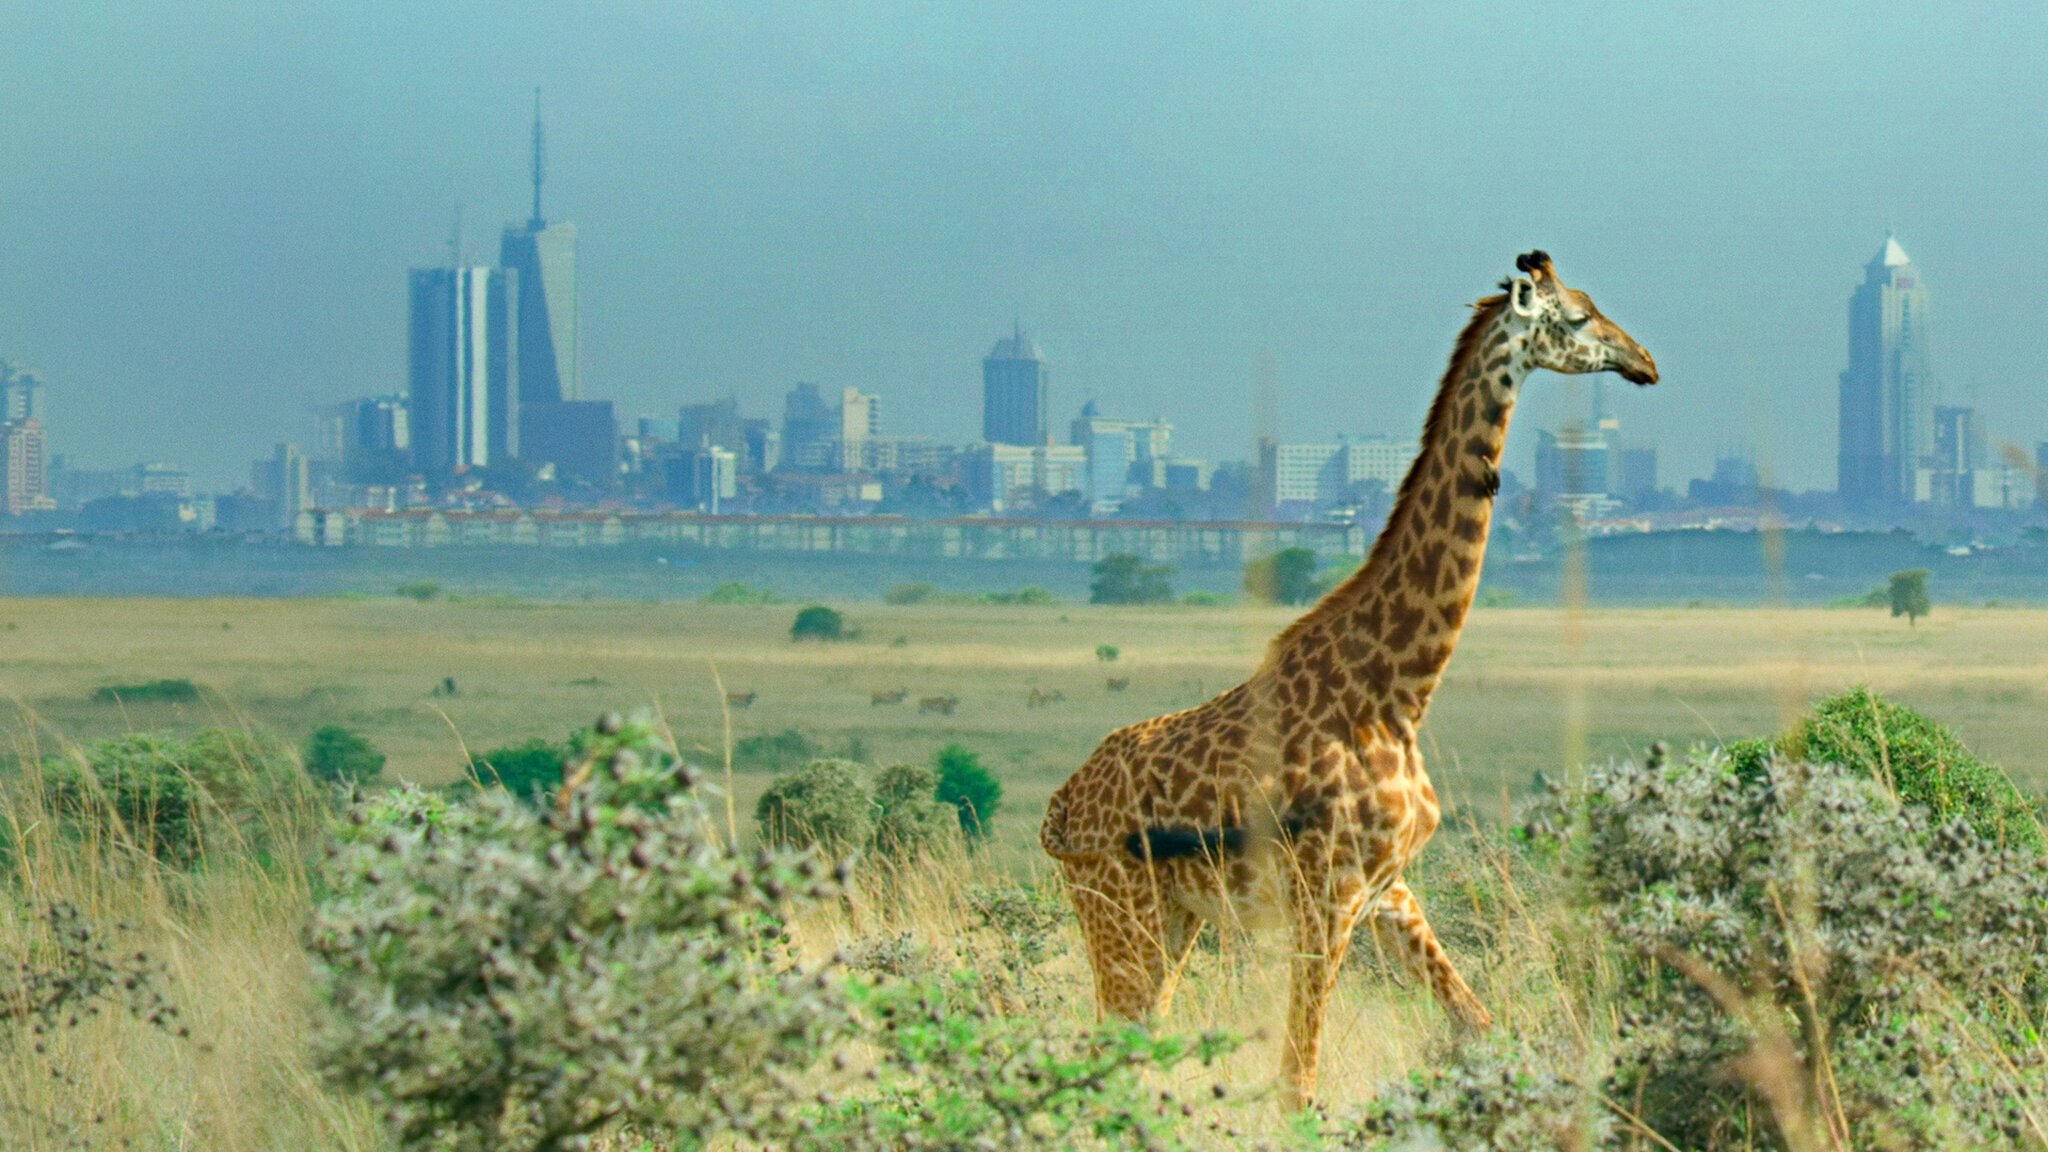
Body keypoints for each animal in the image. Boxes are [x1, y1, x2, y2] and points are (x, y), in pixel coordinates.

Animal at [1048, 251, 1654, 1106]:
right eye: (1576, 318)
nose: (1646, 363)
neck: (1397, 691)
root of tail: (1060, 809)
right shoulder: (1326, 894)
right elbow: (1297, 1080)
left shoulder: (1386, 888)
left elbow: (1479, 1022)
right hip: (1117, 909)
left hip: (1170, 916)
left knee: (1130, 1044)